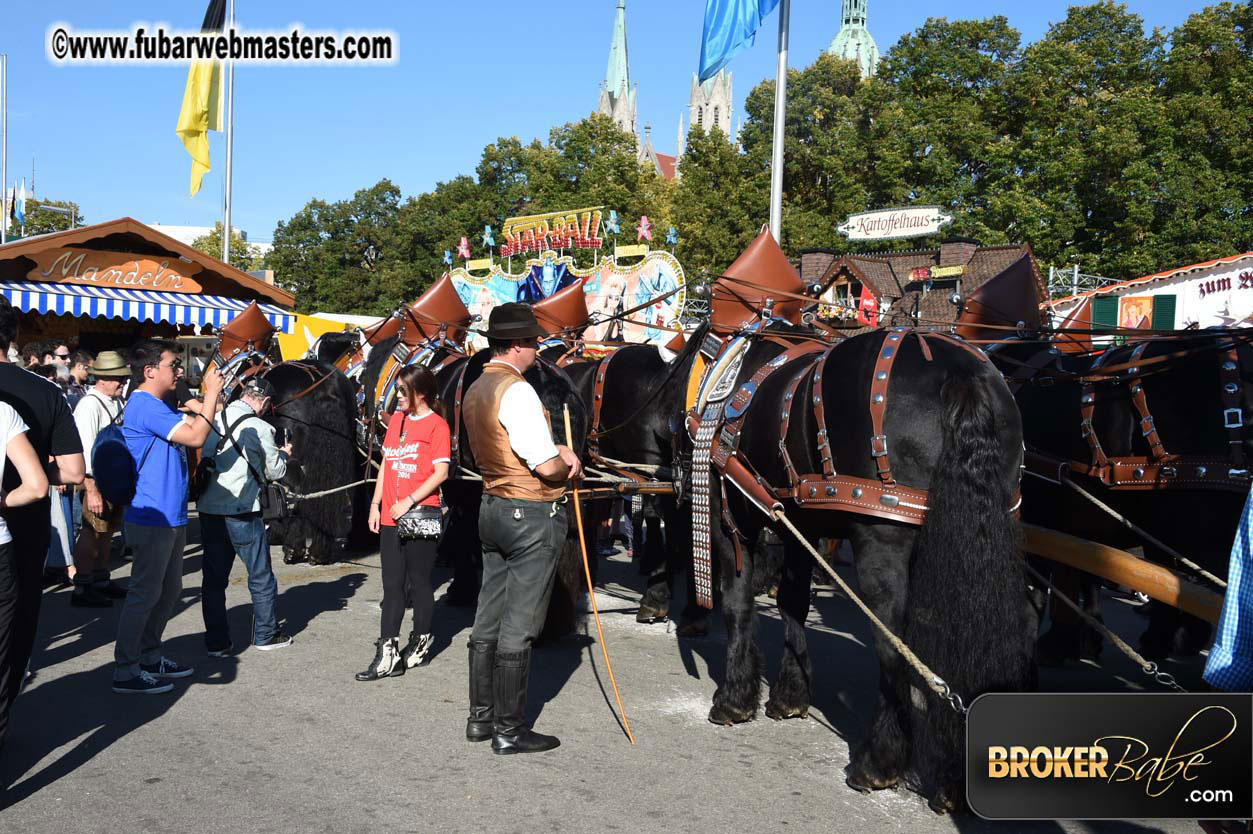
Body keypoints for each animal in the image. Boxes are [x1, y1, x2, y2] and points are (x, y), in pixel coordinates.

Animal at [706, 325, 1037, 811]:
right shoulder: (800, 525)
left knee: (892, 639)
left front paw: (734, 697)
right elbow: (792, 604)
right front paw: (790, 694)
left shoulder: (734, 514)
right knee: (1009, 622)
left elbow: (737, 604)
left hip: (882, 541)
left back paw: (878, 762)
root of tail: (962, 374)